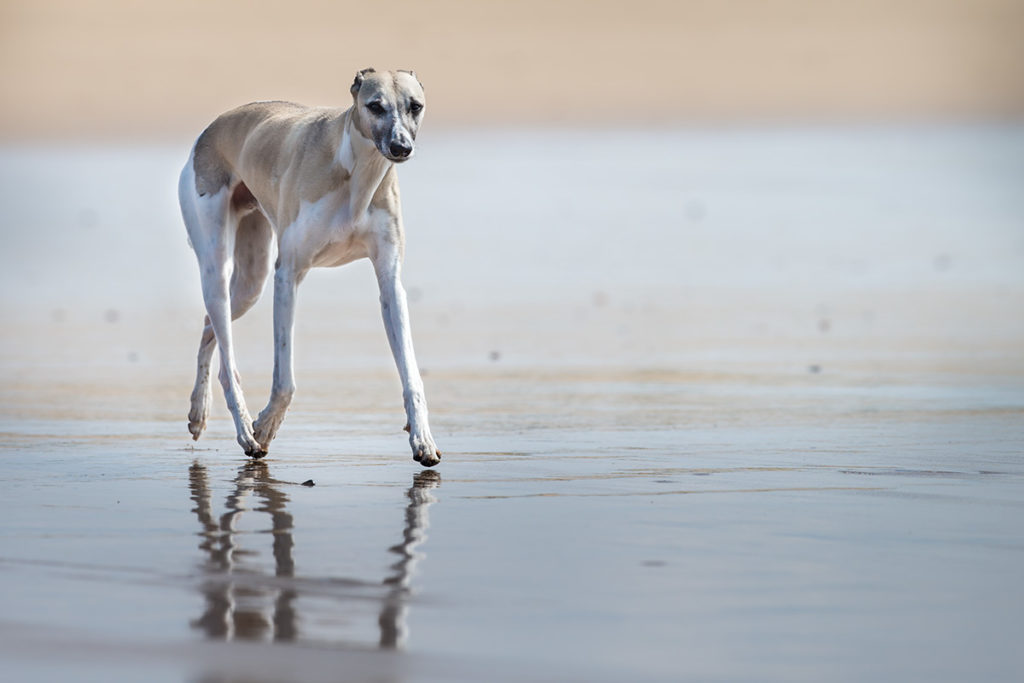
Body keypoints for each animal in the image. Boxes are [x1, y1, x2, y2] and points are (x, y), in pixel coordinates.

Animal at [179, 68, 440, 471]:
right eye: (375, 105)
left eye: (415, 106)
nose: (401, 148)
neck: (356, 171)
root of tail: (212, 127)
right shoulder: (288, 274)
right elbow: (284, 381)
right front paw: (265, 427)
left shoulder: (390, 284)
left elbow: (412, 376)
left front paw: (422, 439)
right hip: (217, 266)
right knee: (225, 358)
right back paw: (245, 433)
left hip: (251, 281)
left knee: (209, 328)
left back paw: (198, 412)